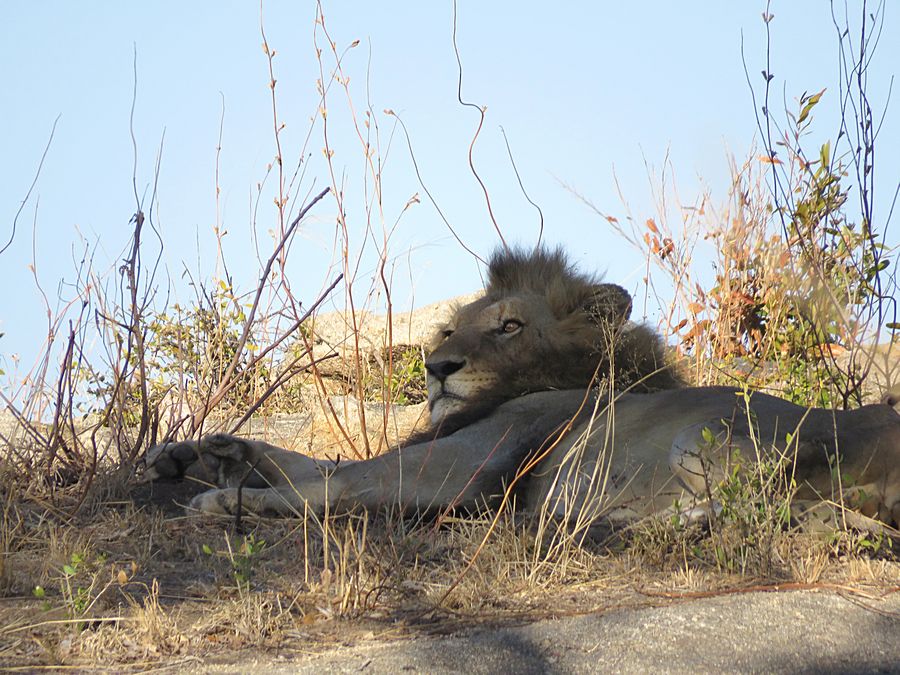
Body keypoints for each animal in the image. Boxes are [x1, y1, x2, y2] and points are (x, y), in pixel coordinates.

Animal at [142, 247, 900, 531]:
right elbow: (313, 462)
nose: (437, 367)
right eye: (452, 327)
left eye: (508, 326)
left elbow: (333, 483)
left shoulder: (460, 469)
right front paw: (197, 453)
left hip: (710, 436)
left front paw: (225, 497)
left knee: (761, 505)